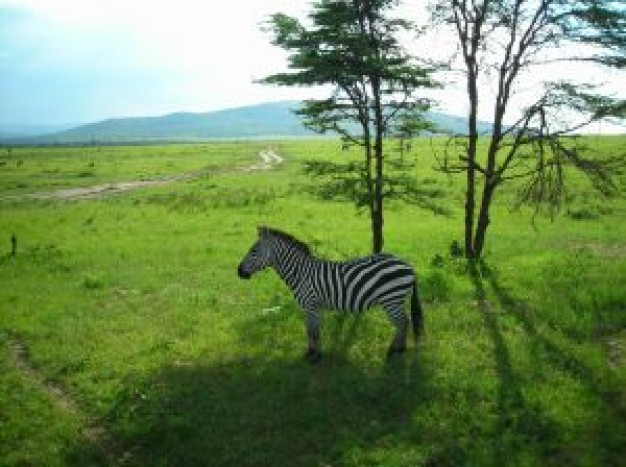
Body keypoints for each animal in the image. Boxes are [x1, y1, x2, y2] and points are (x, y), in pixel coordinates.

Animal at [236, 229, 422, 364]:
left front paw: (315, 357)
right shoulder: (312, 307)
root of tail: (407, 264)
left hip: (391, 299)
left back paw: (393, 352)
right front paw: (311, 353)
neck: (300, 273)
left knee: (402, 322)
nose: (238, 272)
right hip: (395, 299)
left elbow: (314, 331)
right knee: (404, 322)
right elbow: (311, 330)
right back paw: (399, 350)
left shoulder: (311, 305)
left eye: (254, 251)